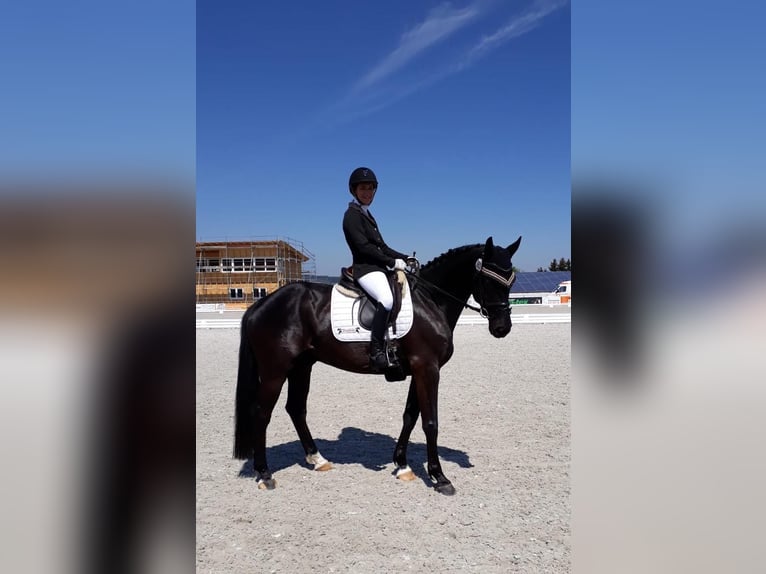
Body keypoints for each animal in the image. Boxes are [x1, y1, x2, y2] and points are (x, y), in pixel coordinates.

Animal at [233, 236, 521, 495]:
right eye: (489, 279)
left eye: (511, 280)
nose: (502, 328)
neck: (431, 300)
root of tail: (261, 305)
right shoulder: (428, 369)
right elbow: (430, 422)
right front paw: (439, 477)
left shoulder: (420, 370)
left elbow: (410, 416)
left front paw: (403, 465)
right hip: (275, 371)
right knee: (261, 413)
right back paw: (265, 474)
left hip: (302, 367)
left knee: (295, 408)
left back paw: (318, 459)